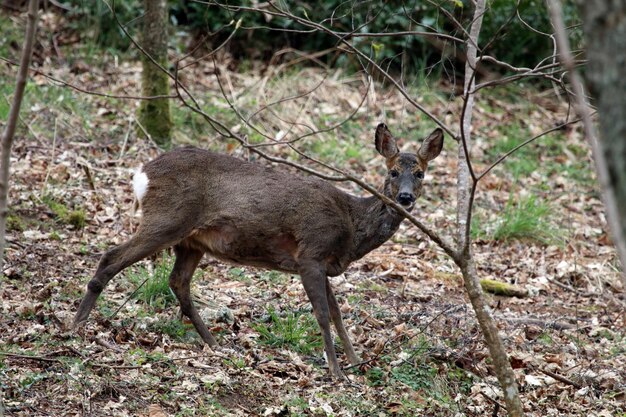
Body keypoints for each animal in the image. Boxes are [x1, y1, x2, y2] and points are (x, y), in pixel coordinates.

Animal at [73, 122, 442, 376]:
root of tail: (142, 174)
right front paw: (337, 371)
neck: (352, 226)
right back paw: (76, 325)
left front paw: (355, 361)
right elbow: (323, 314)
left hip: (191, 242)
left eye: (420, 174)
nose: (405, 198)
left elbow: (338, 313)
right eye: (392, 172)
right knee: (111, 256)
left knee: (178, 282)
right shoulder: (310, 254)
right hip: (167, 219)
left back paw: (214, 343)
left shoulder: (324, 264)